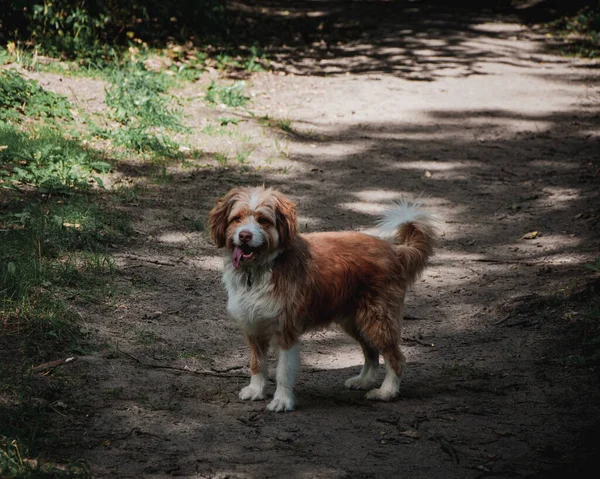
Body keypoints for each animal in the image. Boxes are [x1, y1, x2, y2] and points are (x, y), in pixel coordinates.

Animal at [210, 188, 436, 412]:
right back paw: (364, 381)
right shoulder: (253, 327)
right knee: (371, 352)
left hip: (378, 319)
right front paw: (256, 390)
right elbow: (257, 364)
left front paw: (282, 401)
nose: (244, 235)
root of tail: (394, 251)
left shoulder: (286, 330)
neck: (260, 269)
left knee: (396, 358)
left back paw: (386, 392)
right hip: (355, 321)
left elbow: (283, 371)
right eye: (237, 218)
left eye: (263, 220)